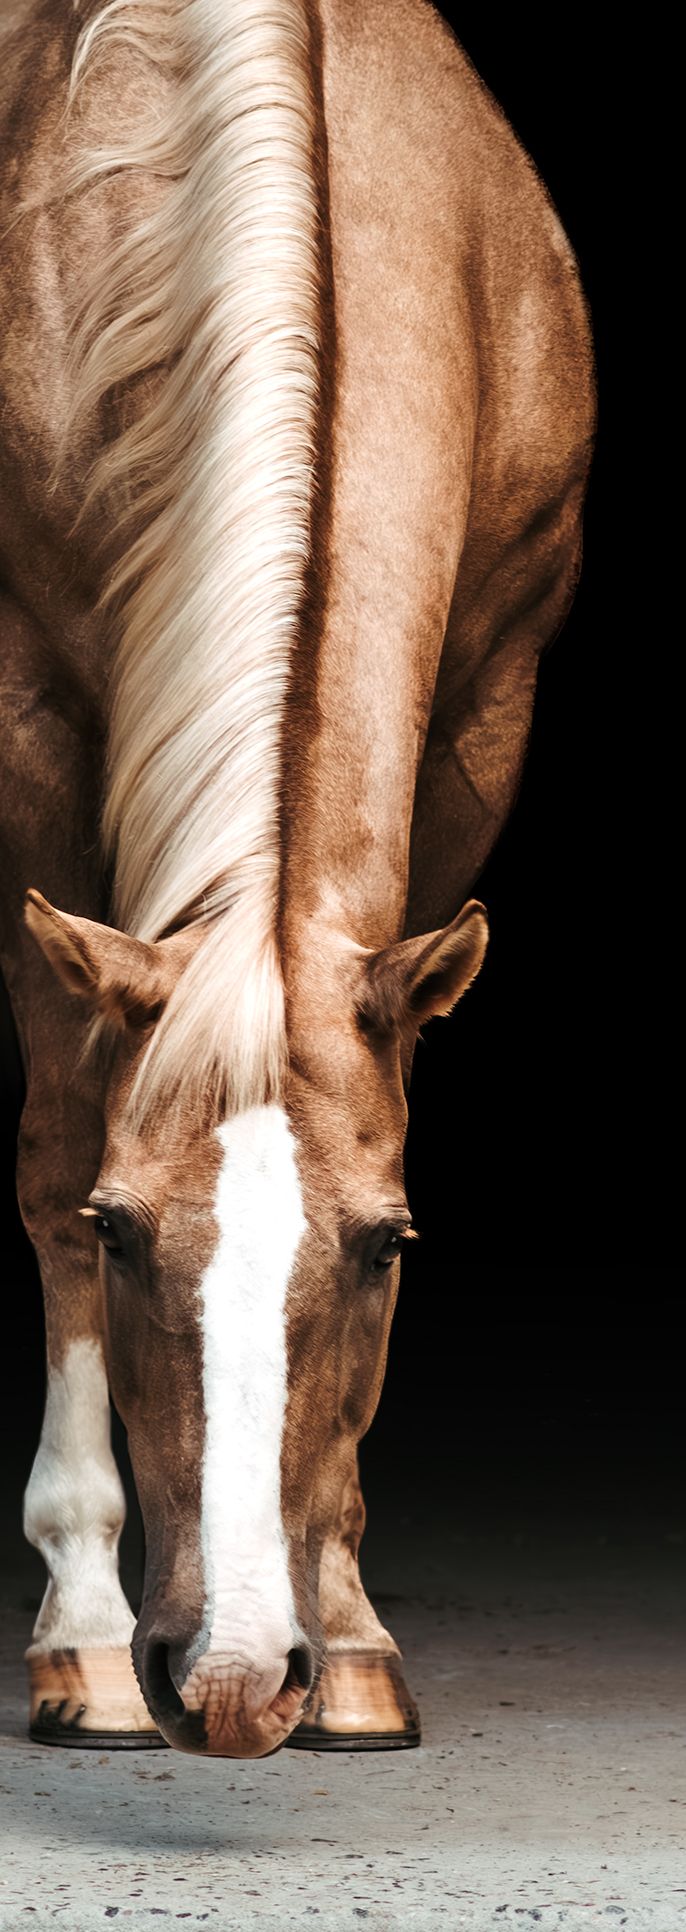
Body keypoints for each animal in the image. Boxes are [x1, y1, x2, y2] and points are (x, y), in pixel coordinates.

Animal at [0, 0, 594, 1759]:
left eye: (387, 1247)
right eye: (122, 1234)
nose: (227, 1678)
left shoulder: (483, 711)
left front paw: (347, 1637)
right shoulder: (33, 712)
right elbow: (55, 1134)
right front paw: (80, 1631)